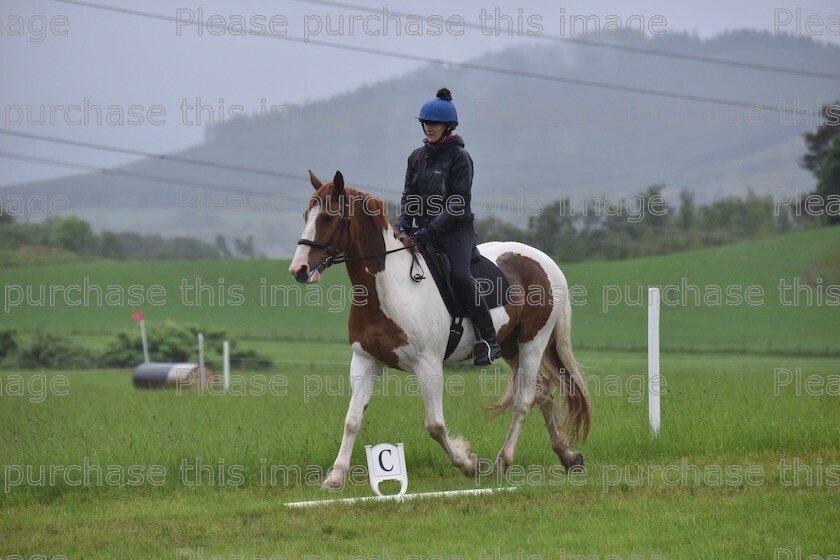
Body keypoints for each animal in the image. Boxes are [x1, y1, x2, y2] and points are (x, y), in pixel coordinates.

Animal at [288, 171, 592, 490]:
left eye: (328, 218)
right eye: (307, 215)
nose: (299, 269)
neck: (387, 288)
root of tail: (547, 262)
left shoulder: (428, 364)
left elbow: (434, 425)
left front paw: (469, 463)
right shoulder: (365, 360)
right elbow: (352, 419)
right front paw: (335, 478)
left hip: (533, 341)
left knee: (524, 400)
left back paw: (502, 462)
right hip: (510, 346)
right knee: (543, 392)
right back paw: (568, 456)